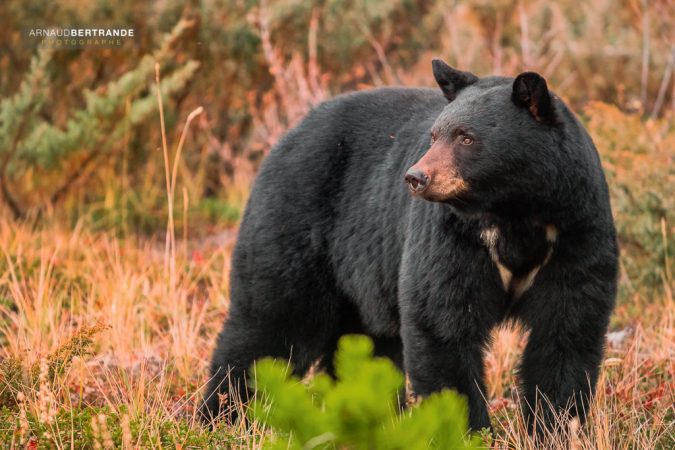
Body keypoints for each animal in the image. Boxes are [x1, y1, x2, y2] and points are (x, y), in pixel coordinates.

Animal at [202, 58, 616, 434]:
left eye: (466, 137)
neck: (514, 213)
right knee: (271, 322)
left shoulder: (576, 231)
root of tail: (288, 133)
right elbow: (442, 322)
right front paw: (465, 428)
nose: (417, 177)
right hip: (296, 219)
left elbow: (566, 329)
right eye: (434, 135)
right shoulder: (453, 237)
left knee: (364, 346)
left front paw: (558, 426)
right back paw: (224, 415)